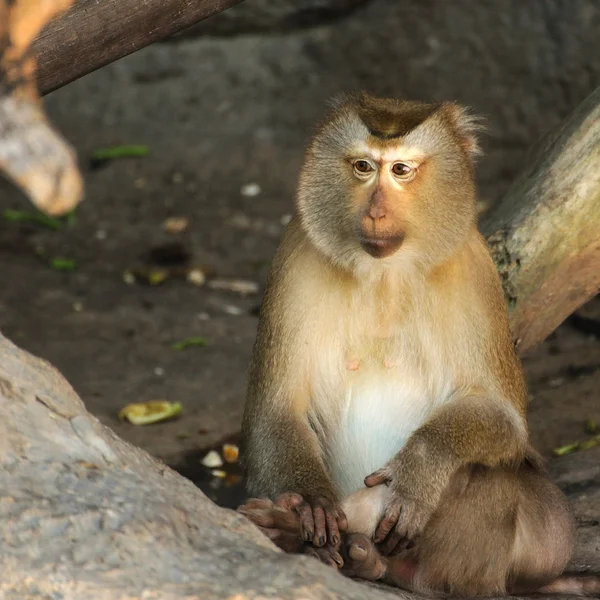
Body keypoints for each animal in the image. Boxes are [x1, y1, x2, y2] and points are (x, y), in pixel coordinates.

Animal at [237, 92, 596, 596]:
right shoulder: (295, 258)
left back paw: (399, 569)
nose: (375, 212)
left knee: (488, 478)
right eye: (364, 167)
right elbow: (274, 409)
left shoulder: (474, 268)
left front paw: (417, 472)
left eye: (401, 170)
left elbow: (500, 416)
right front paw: (309, 504)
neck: (384, 273)